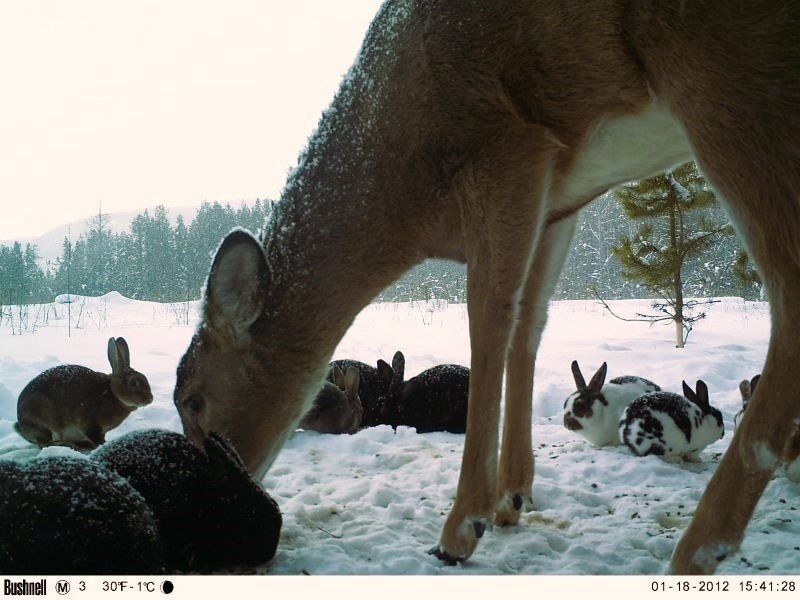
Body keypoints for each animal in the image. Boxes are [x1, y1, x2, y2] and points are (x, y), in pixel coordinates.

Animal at [14, 338, 153, 450]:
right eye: (133, 383)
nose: (150, 399)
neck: (113, 394)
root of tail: (21, 425)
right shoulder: (90, 424)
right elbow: (96, 438)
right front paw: (102, 445)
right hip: (43, 422)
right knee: (44, 443)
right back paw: (69, 444)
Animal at [175, 0, 800, 576]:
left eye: (193, 400)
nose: (206, 500)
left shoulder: (508, 148)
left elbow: (489, 320)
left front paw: (463, 525)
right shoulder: (558, 200)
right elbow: (529, 323)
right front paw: (512, 497)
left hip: (723, 71)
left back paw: (697, 550)